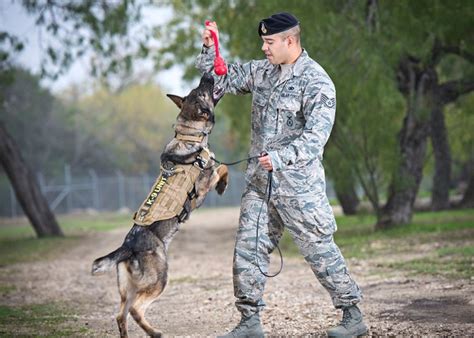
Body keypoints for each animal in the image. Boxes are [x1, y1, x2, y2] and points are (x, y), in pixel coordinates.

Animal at [91, 72, 229, 336]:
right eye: (202, 91)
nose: (207, 74)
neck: (189, 134)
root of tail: (128, 246)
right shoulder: (205, 183)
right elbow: (223, 167)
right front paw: (223, 185)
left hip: (128, 289)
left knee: (120, 315)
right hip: (160, 279)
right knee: (136, 310)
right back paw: (155, 332)